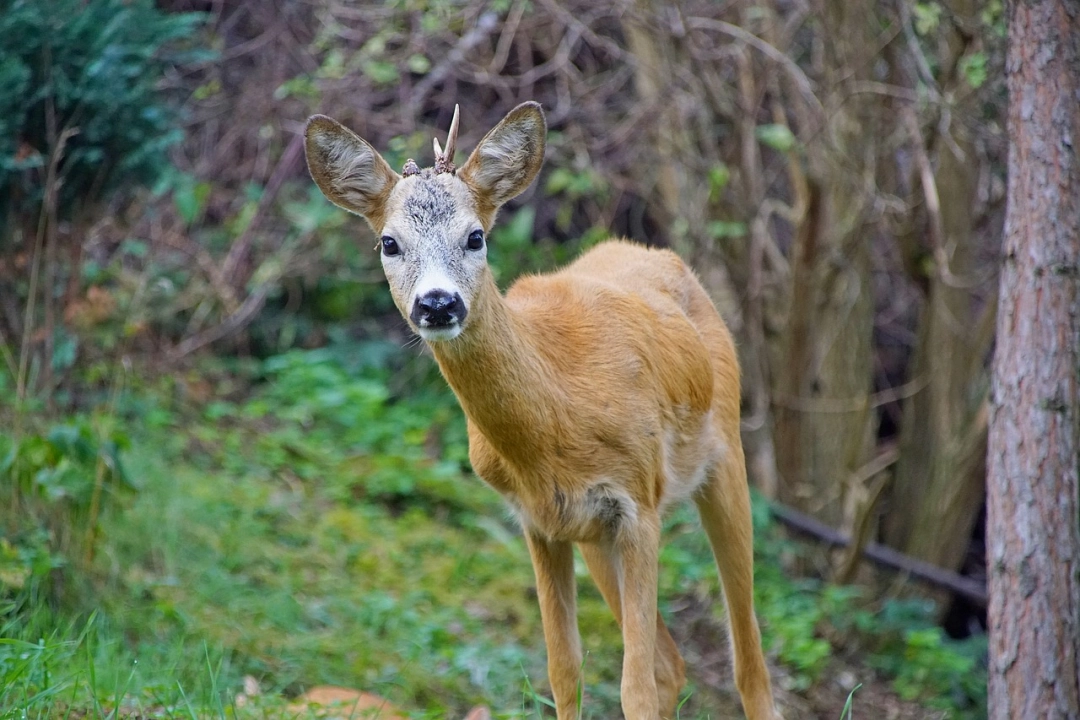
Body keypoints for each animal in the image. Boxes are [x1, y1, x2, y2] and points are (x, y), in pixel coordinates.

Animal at [302, 102, 777, 720]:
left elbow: (634, 687)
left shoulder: (638, 502)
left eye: (475, 236)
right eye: (389, 242)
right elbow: (564, 672)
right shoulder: (539, 521)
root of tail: (659, 255)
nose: (438, 303)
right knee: (672, 665)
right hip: (594, 537)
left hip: (724, 461)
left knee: (749, 664)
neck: (554, 418)